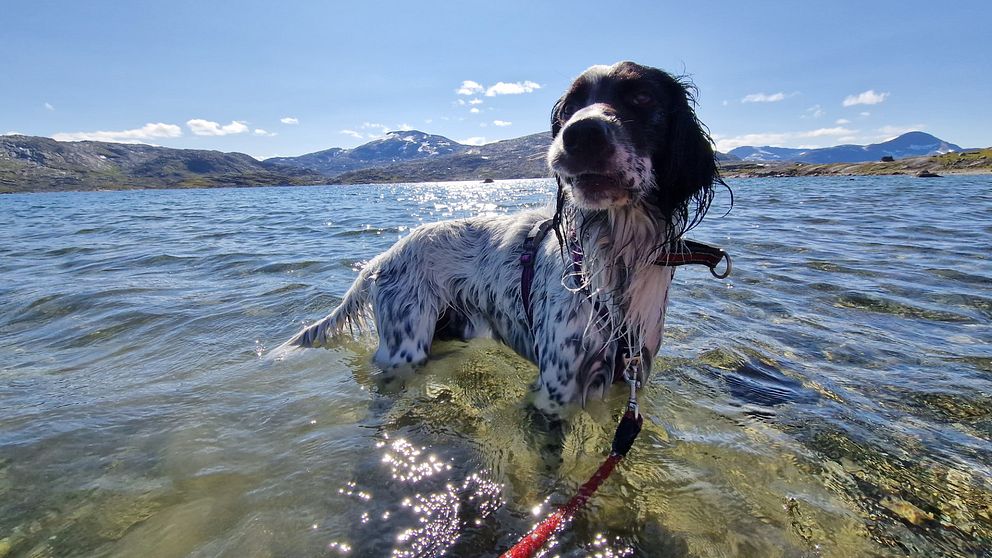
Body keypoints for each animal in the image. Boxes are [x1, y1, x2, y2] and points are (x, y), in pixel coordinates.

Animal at [280, 61, 720, 416]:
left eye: (642, 97)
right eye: (569, 107)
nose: (579, 135)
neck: (617, 255)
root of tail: (384, 257)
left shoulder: (628, 380)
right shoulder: (555, 390)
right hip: (404, 348)